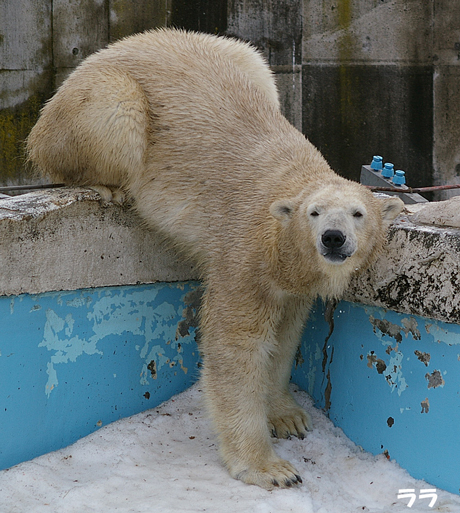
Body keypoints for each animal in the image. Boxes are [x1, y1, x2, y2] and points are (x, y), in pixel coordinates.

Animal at [27, 28, 404, 488]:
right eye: (315, 213)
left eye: (358, 213)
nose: (334, 239)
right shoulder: (245, 257)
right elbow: (236, 348)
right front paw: (270, 468)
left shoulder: (291, 282)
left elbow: (284, 338)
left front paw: (288, 417)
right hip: (98, 102)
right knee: (116, 117)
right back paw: (107, 185)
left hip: (245, 60)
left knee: (255, 61)